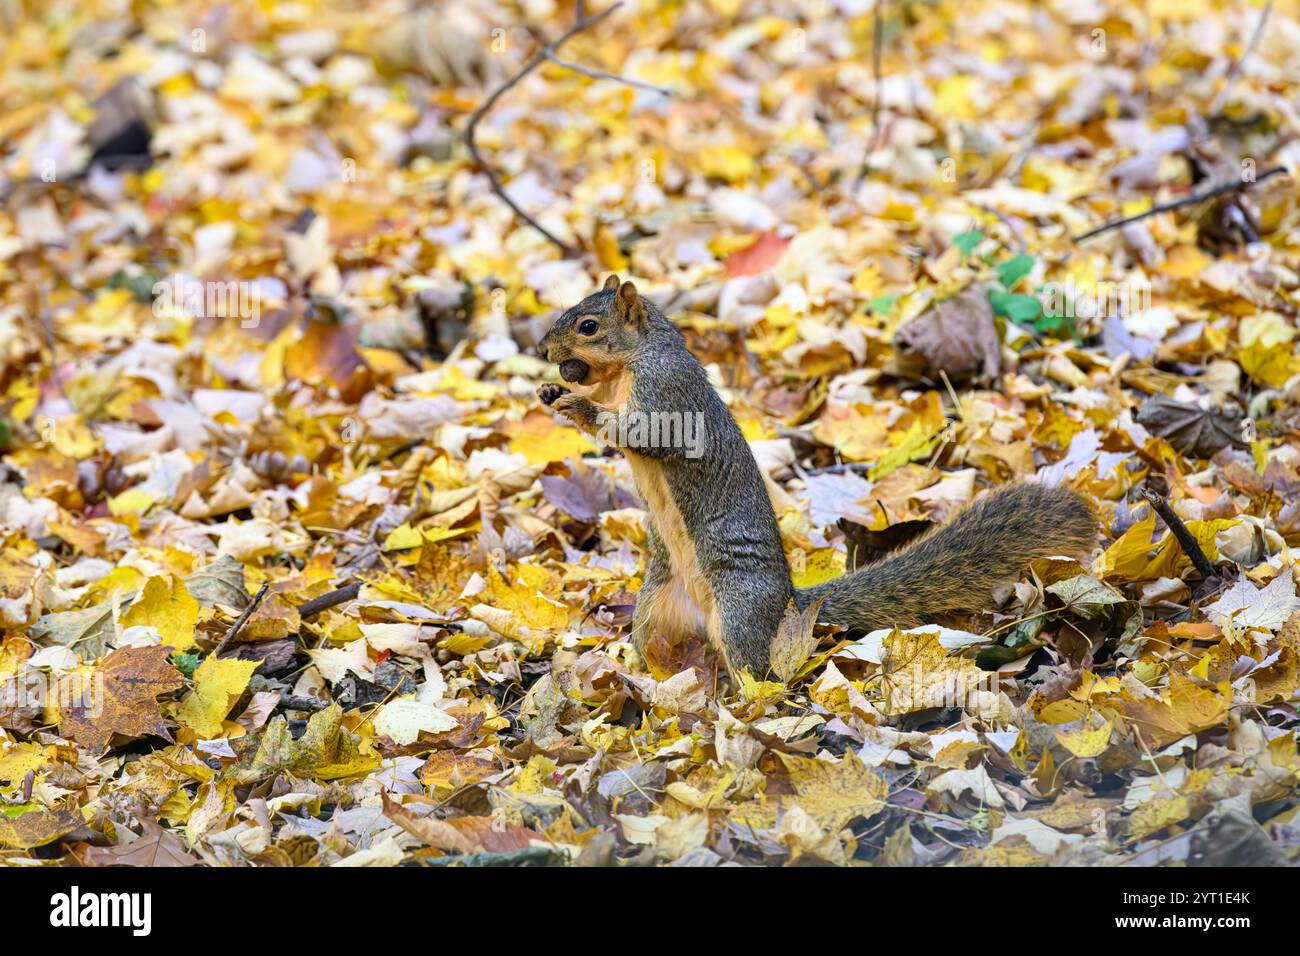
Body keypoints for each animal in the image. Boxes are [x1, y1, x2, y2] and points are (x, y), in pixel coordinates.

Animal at [537, 275, 1097, 679]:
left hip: (739, 610)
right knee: (661, 649)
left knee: (761, 671)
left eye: (588, 326)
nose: (544, 349)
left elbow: (642, 430)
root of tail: (790, 606)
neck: (630, 364)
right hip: (655, 603)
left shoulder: (667, 393)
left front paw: (577, 404)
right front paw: (551, 393)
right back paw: (641, 676)